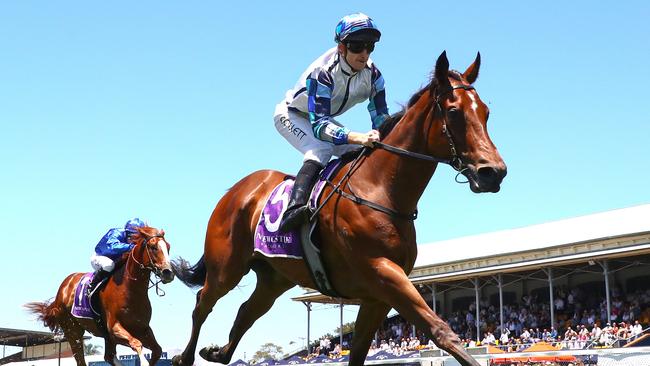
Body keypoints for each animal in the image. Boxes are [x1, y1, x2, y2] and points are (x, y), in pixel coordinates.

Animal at [26, 226, 175, 366]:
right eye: (153, 247)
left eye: (168, 247)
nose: (168, 273)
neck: (131, 290)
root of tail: (63, 288)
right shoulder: (114, 329)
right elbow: (136, 343)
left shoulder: (142, 329)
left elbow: (157, 350)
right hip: (73, 331)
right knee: (81, 359)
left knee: (108, 356)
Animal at [170, 50, 504, 366]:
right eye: (453, 111)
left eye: (486, 112)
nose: (494, 172)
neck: (381, 190)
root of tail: (236, 191)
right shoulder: (383, 273)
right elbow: (441, 330)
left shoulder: (376, 297)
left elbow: (358, 352)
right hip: (226, 268)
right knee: (202, 303)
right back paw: (183, 356)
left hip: (274, 277)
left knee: (245, 312)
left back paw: (216, 351)